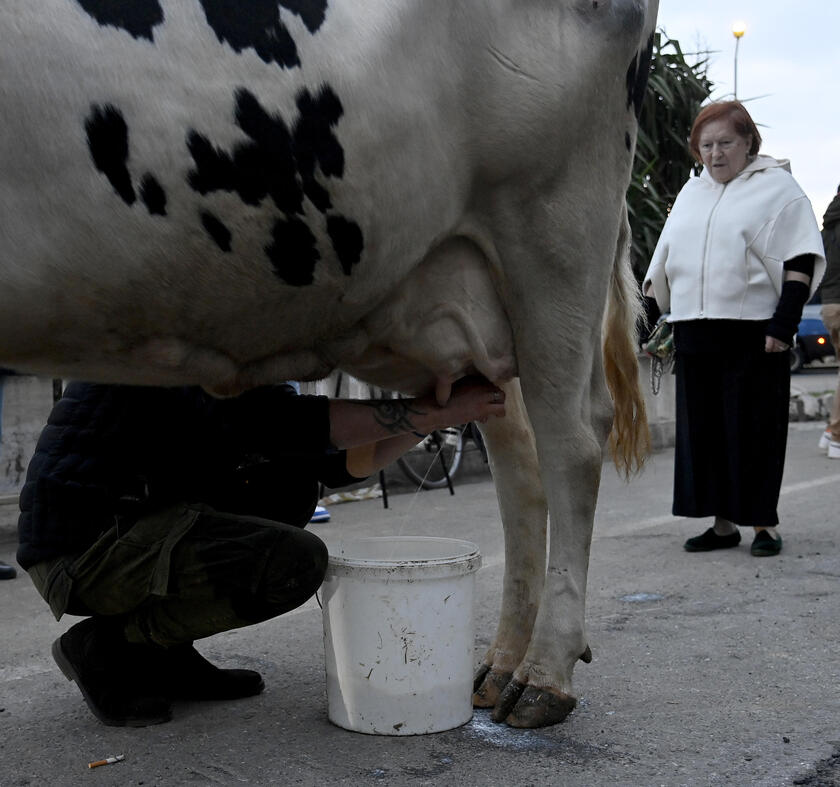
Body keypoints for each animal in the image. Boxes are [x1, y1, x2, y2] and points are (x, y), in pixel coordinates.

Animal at [0, 0, 656, 728]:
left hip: (554, 223)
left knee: (573, 440)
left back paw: (543, 676)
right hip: (480, 284)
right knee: (518, 454)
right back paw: (501, 665)